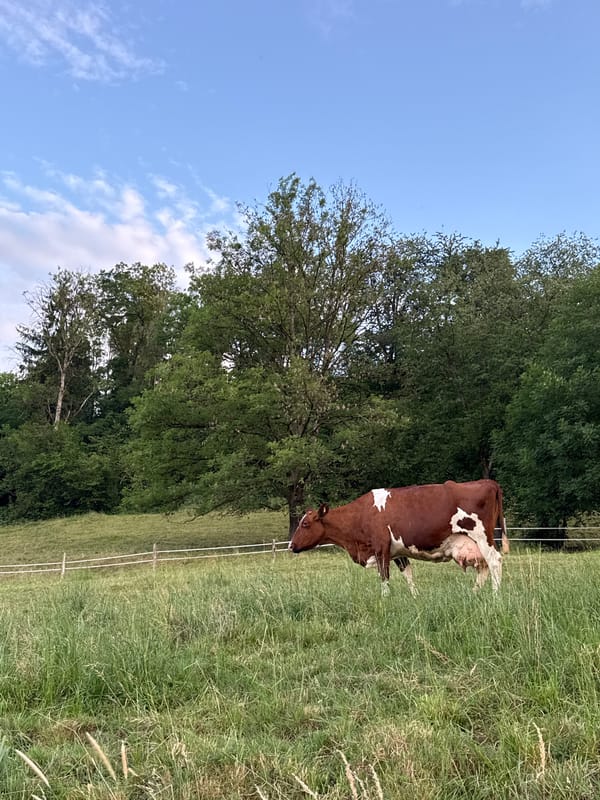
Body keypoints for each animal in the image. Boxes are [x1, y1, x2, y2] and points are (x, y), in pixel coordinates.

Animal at [288, 479, 509, 594]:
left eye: (305, 524)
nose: (290, 545)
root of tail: (487, 482)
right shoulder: (397, 552)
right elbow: (408, 575)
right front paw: (415, 598)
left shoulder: (380, 548)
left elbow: (384, 577)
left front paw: (385, 599)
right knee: (483, 567)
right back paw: (474, 593)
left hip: (483, 537)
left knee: (494, 561)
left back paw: (495, 595)